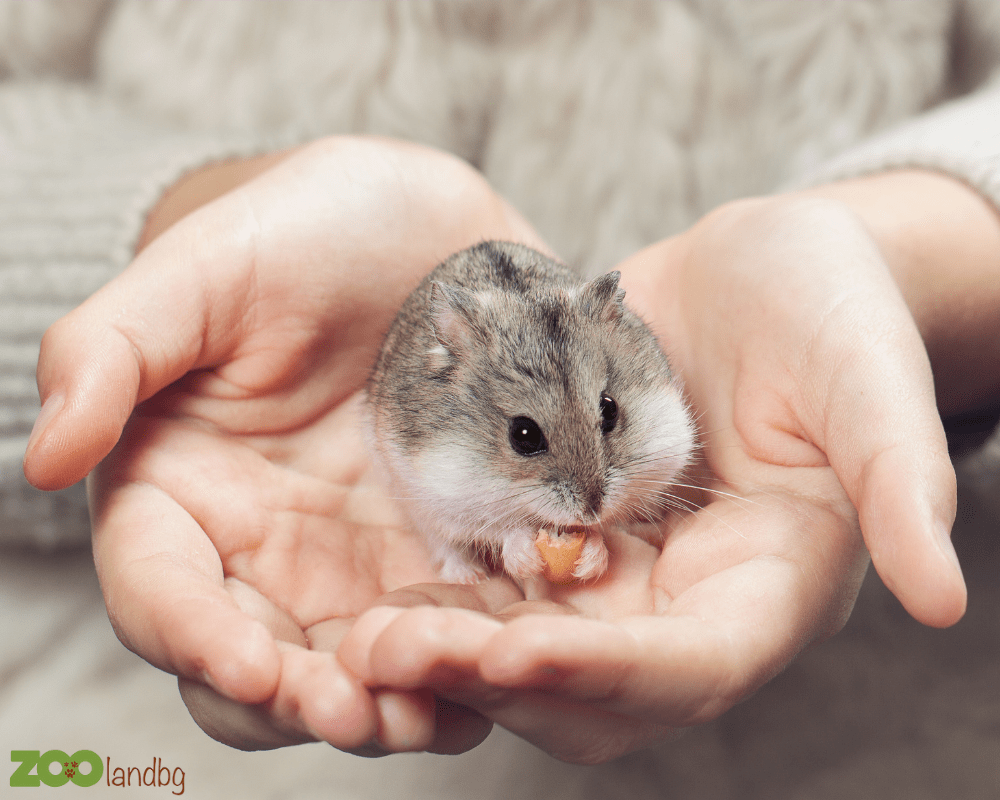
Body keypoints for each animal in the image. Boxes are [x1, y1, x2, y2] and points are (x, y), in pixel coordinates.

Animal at [368, 241, 696, 584]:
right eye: (523, 435)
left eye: (610, 409)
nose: (591, 511)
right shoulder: (440, 495)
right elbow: (501, 531)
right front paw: (524, 558)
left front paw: (591, 556)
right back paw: (469, 576)